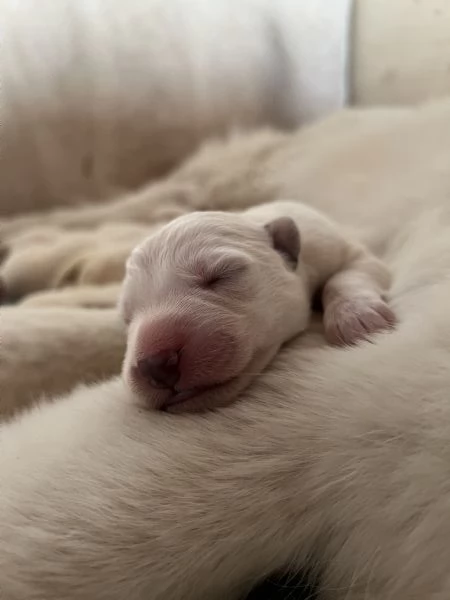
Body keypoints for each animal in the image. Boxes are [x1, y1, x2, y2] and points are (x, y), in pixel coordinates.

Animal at [120, 202, 398, 412]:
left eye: (221, 276)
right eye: (127, 317)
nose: (154, 365)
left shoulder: (336, 247)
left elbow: (346, 275)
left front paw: (358, 318)